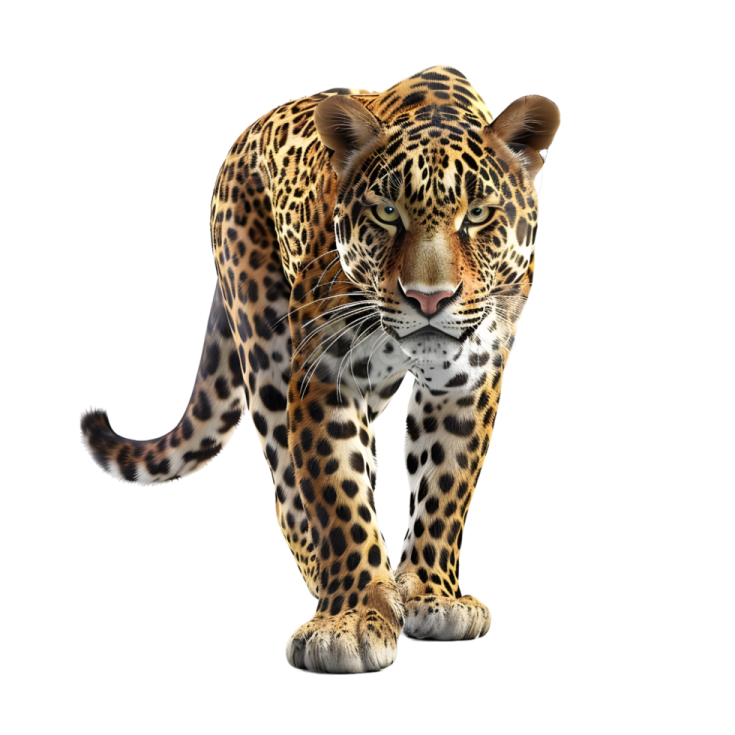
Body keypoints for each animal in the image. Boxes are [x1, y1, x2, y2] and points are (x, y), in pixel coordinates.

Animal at [79, 63, 561, 674]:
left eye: (477, 216)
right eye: (386, 212)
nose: (429, 299)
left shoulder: (467, 380)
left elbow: (446, 484)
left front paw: (432, 594)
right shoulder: (326, 375)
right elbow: (337, 491)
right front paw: (350, 618)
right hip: (263, 341)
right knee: (289, 487)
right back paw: (333, 577)